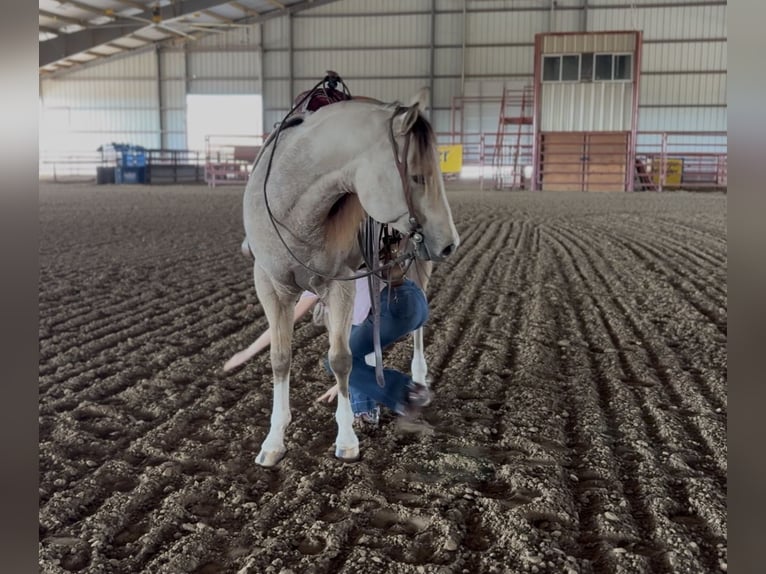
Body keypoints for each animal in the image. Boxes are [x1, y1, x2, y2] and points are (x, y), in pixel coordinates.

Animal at [240, 89, 459, 466]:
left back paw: (417, 379)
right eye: (417, 176)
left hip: (416, 265)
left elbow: (340, 359)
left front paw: (346, 439)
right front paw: (273, 442)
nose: (450, 243)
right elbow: (280, 359)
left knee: (415, 327)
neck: (292, 209)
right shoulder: (270, 285)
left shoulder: (339, 285)